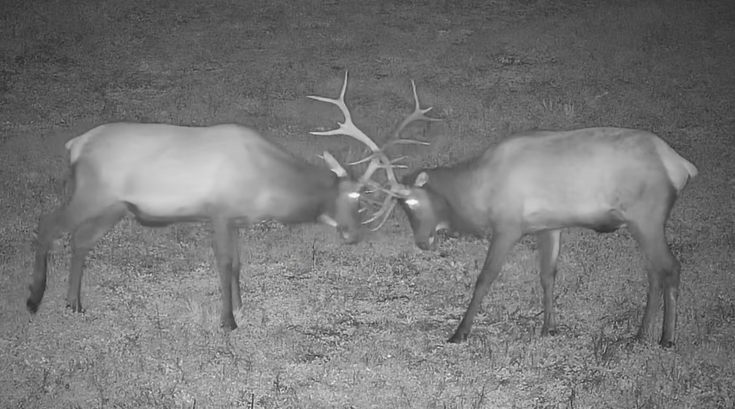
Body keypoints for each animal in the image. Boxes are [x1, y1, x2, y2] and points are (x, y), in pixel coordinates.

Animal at [27, 113, 391, 330]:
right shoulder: (219, 212)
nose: (354, 235)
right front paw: (227, 321)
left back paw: (74, 303)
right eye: (353, 197)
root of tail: (76, 145)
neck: (266, 183)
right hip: (92, 194)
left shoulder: (236, 220)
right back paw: (34, 299)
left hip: (113, 207)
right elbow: (225, 263)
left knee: (80, 240)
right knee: (47, 224)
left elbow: (238, 265)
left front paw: (241, 308)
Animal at [371, 124, 698, 348]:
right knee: (654, 271)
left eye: (411, 203)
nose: (421, 241)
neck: (477, 192)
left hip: (647, 216)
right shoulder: (548, 226)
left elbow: (485, 278)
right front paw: (548, 328)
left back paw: (667, 338)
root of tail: (682, 167)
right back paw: (641, 334)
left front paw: (459, 333)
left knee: (671, 267)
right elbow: (547, 275)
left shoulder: (507, 225)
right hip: (639, 223)